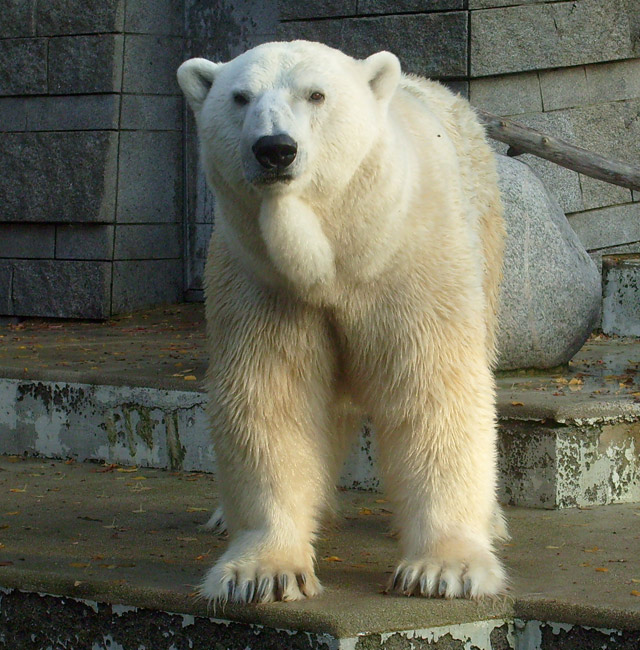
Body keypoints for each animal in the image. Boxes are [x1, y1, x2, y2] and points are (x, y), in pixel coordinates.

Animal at [178, 40, 508, 604]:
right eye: (240, 97)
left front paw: (444, 570)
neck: (342, 251)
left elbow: (433, 387)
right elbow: (274, 394)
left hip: (483, 233)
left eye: (316, 94)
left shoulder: (412, 263)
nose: (275, 149)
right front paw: (262, 573)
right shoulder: (263, 282)